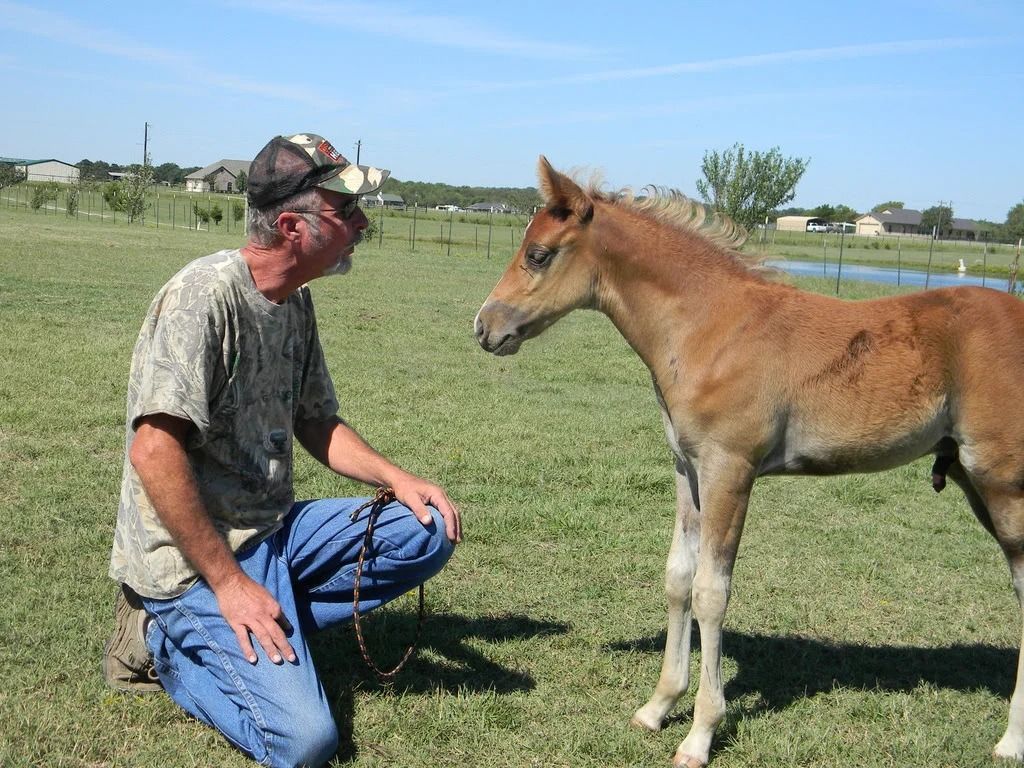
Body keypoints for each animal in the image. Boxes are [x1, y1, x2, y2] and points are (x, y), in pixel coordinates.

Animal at [474, 156, 1024, 767]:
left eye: (538, 254)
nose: (484, 326)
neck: (711, 328)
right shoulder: (687, 470)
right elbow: (678, 578)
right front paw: (657, 706)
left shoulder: (729, 470)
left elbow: (712, 593)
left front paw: (700, 733)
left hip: (1003, 482)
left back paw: (1011, 739)